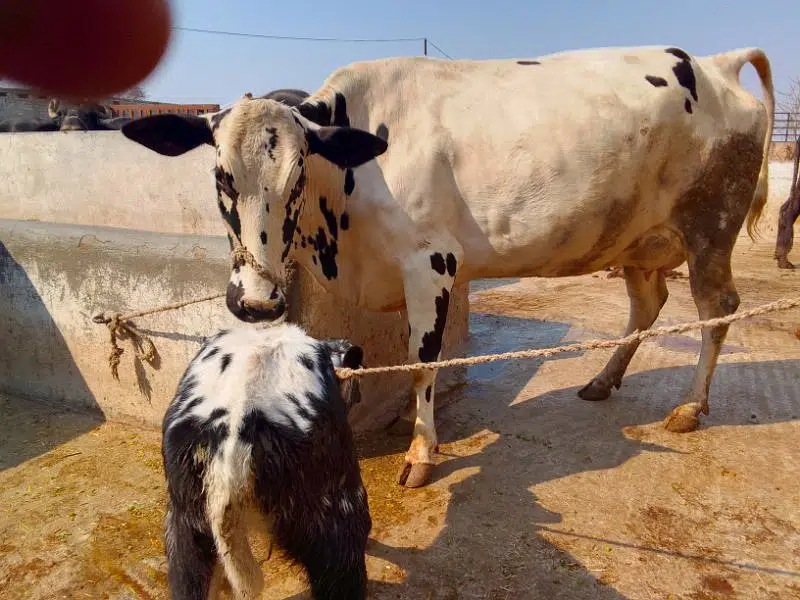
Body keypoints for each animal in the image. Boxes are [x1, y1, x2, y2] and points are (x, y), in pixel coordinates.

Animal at [121, 45, 775, 489]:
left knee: (717, 310)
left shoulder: (431, 262)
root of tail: (714, 63)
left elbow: (421, 363)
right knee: (648, 305)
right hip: (636, 239)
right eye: (220, 176)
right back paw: (602, 380)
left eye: (297, 174)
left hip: (711, 228)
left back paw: (690, 407)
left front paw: (419, 453)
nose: (256, 301)